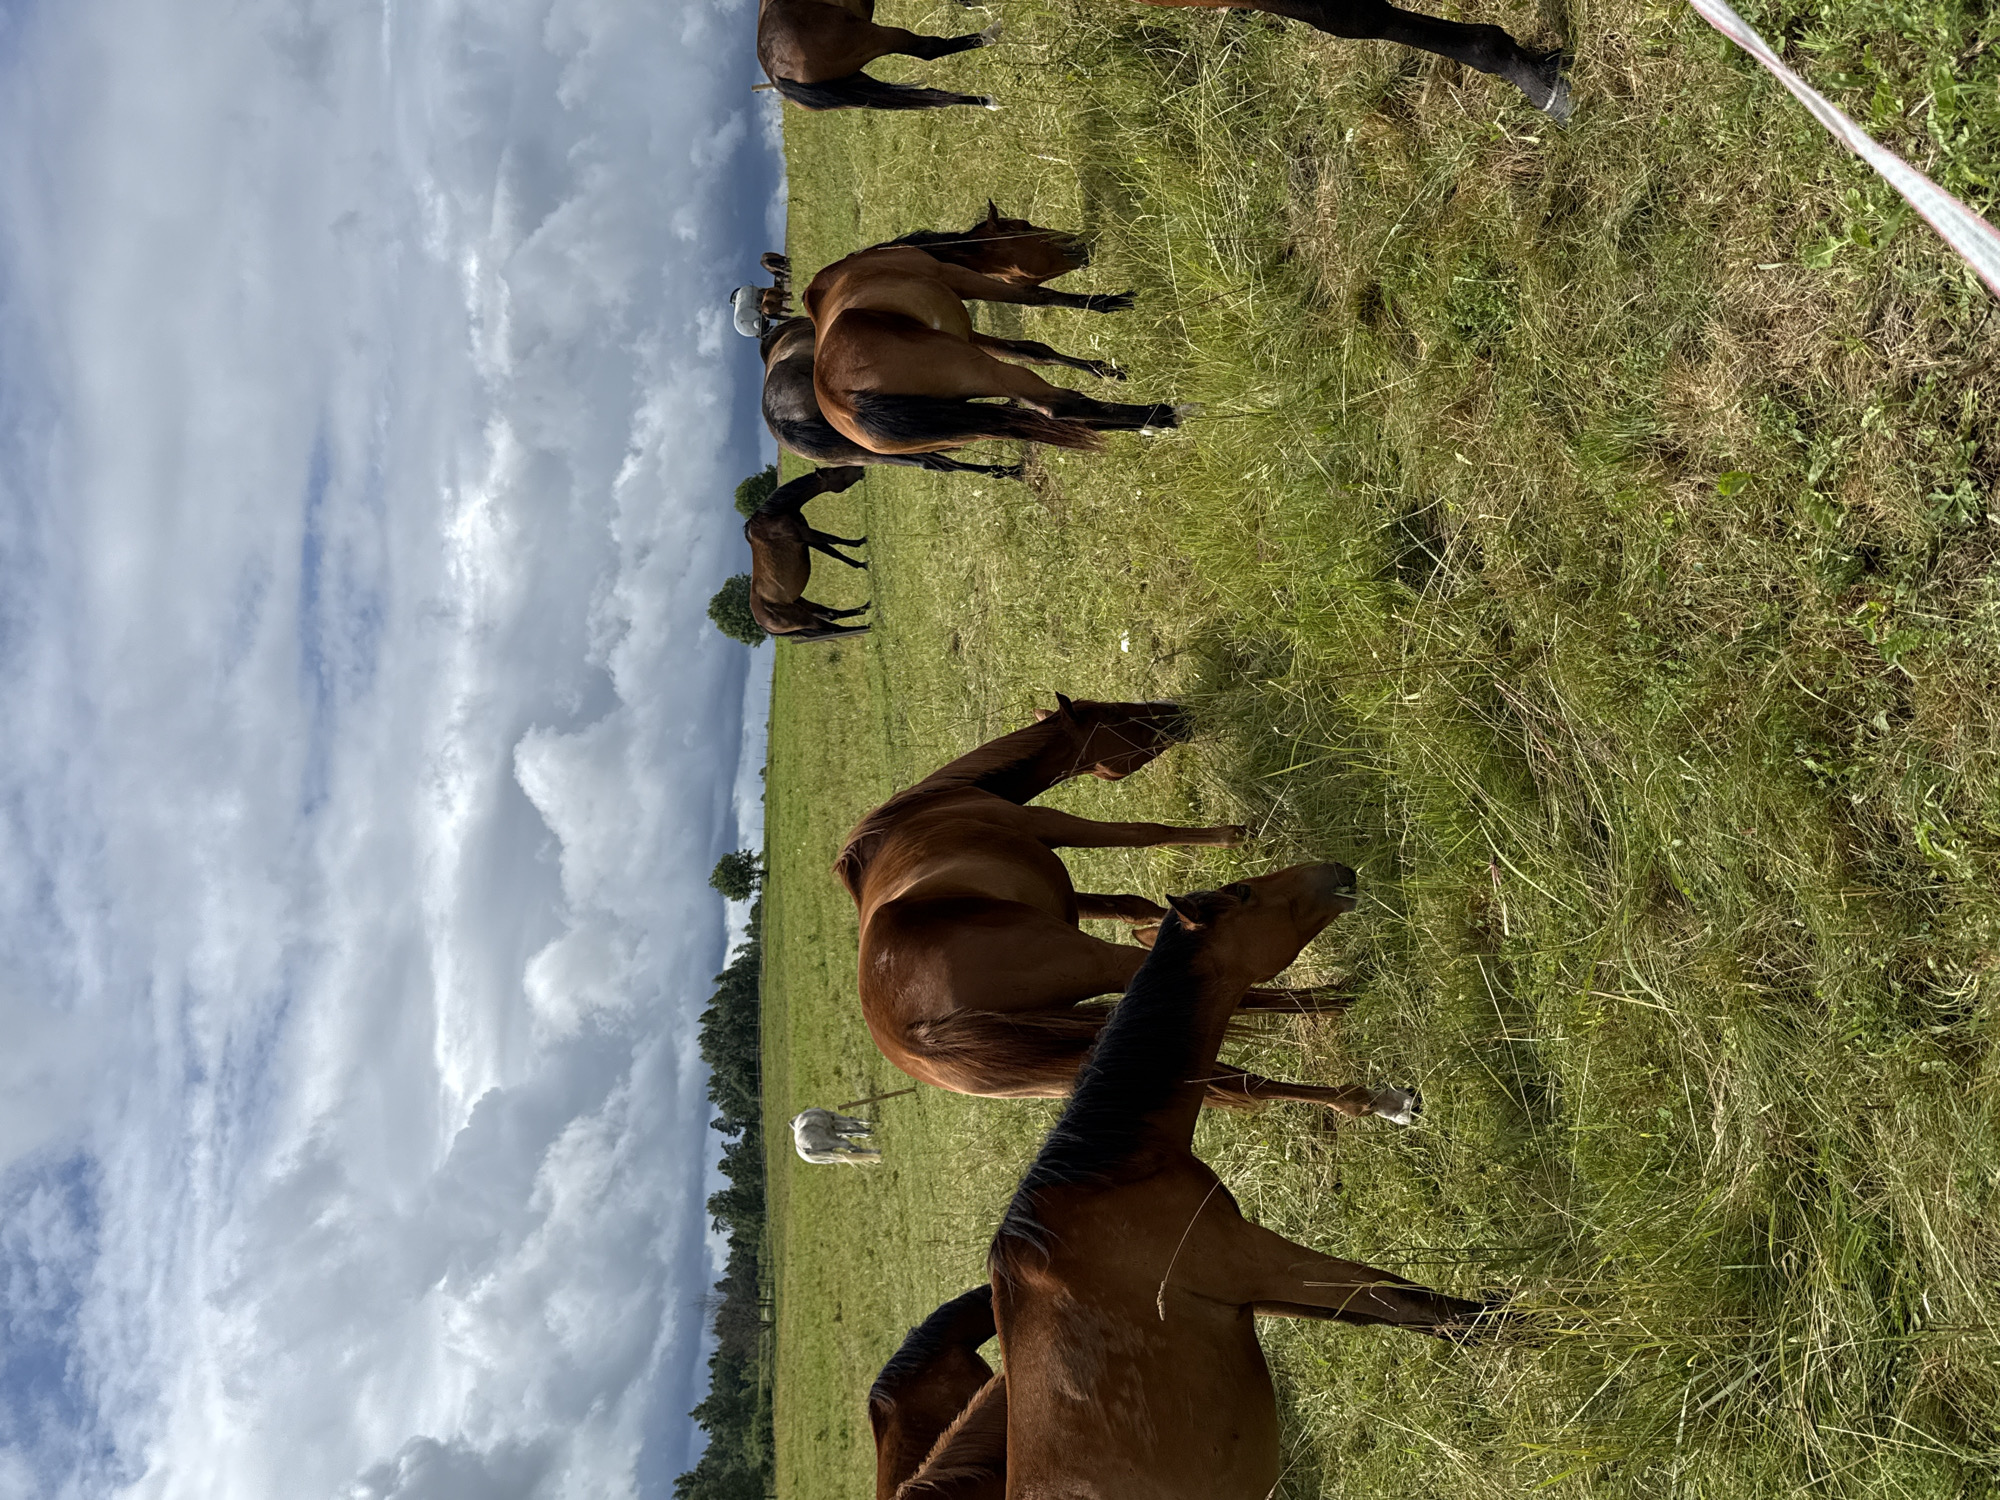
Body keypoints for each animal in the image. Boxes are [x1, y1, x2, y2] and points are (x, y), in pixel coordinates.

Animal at [746, 465, 872, 642]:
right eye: (836, 471)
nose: (860, 468)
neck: (774, 515)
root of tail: (762, 622)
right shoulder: (808, 535)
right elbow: (834, 544)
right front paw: (864, 563)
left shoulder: (807, 539)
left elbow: (836, 548)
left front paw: (861, 545)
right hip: (805, 618)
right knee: (833, 628)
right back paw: (867, 625)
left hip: (804, 604)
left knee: (832, 616)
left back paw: (866, 609)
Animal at [758, 0, 1001, 112]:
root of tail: (776, 76)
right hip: (877, 36)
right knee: (928, 49)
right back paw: (991, 34)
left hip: (856, 87)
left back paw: (986, 101)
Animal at [807, 246, 1188, 456]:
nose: (1081, 250)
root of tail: (841, 400)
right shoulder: (960, 279)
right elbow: (1035, 297)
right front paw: (1107, 303)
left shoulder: (969, 333)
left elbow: (1033, 349)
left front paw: (1102, 369)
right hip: (986, 371)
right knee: (1060, 407)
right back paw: (1160, 415)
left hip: (971, 419)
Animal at [834, 694, 1421, 1119]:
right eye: (1118, 715)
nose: (1177, 712)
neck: (936, 805)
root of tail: (913, 1035)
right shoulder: (1051, 825)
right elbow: (1144, 833)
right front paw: (1232, 836)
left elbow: (1126, 903)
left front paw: (1159, 919)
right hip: (1101, 966)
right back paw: (1341, 1013)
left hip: (1066, 1066)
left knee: (1238, 1083)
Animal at [988, 864, 1502, 1500]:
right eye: (1245, 893)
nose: (1337, 871)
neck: (1107, 1183)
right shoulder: (1255, 1259)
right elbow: (1407, 1300)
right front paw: (1537, 1324)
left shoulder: (1256, 1295)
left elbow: (1389, 1311)